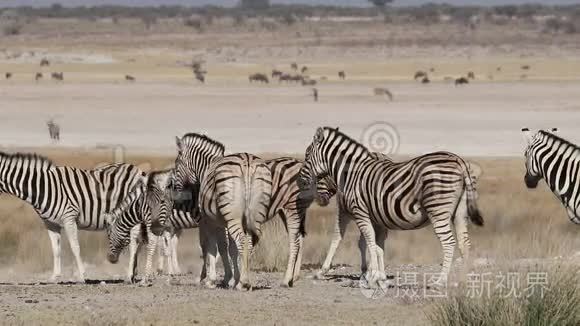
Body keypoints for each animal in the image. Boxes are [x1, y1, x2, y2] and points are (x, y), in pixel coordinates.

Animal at [0, 152, 145, 282]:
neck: (43, 187)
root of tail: (138, 170)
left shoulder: (69, 218)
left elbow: (75, 247)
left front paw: (82, 276)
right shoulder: (50, 223)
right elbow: (56, 249)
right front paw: (54, 277)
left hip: (132, 214)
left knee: (134, 243)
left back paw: (129, 275)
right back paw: (134, 273)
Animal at [172, 134, 272, 290]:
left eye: (177, 164)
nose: (176, 192)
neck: (206, 167)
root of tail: (247, 162)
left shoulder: (210, 221)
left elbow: (214, 247)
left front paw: (213, 280)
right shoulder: (226, 222)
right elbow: (230, 248)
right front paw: (232, 278)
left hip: (233, 217)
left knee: (241, 240)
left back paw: (243, 282)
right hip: (255, 215)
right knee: (248, 243)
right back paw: (246, 281)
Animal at [296, 127, 482, 286]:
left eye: (307, 155)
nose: (299, 182)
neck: (351, 174)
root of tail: (458, 159)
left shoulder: (358, 211)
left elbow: (356, 239)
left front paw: (368, 275)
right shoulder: (376, 216)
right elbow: (376, 245)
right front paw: (377, 275)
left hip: (438, 209)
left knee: (449, 242)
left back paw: (440, 281)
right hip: (459, 212)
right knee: (465, 243)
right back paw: (464, 281)